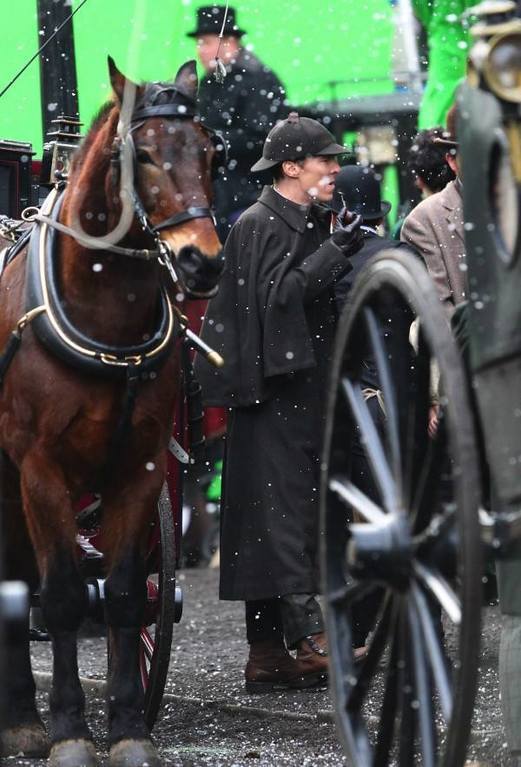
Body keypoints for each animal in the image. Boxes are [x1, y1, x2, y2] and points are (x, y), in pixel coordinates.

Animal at [0, 58, 221, 767]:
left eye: (209, 151)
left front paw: (127, 727)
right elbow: (63, 595)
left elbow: (125, 595)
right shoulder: (40, 468)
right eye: (141, 154)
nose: (201, 260)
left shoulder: (141, 467)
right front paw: (69, 729)